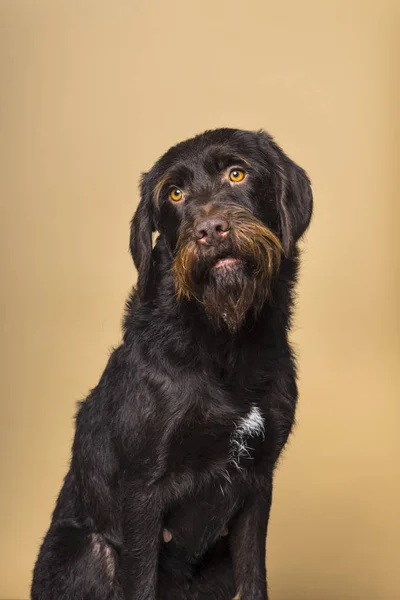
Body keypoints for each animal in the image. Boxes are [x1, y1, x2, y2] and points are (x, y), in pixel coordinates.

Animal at [31, 129, 312, 596]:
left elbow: (254, 577)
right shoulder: (143, 491)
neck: (223, 341)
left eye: (237, 173)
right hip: (89, 549)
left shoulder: (258, 481)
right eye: (175, 194)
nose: (210, 230)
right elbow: (142, 581)